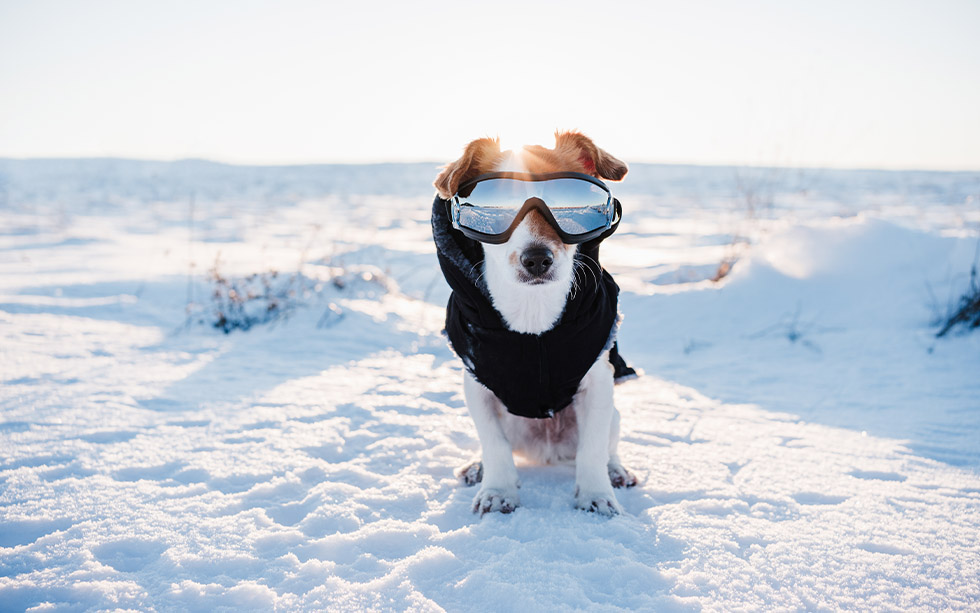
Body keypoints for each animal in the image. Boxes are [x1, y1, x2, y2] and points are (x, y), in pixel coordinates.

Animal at [434, 130, 636, 516]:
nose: (537, 259)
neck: (534, 322)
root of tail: (547, 450)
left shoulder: (599, 384)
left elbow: (592, 449)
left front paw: (596, 495)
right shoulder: (477, 386)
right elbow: (493, 444)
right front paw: (497, 491)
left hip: (615, 413)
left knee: (609, 445)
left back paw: (616, 471)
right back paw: (476, 467)